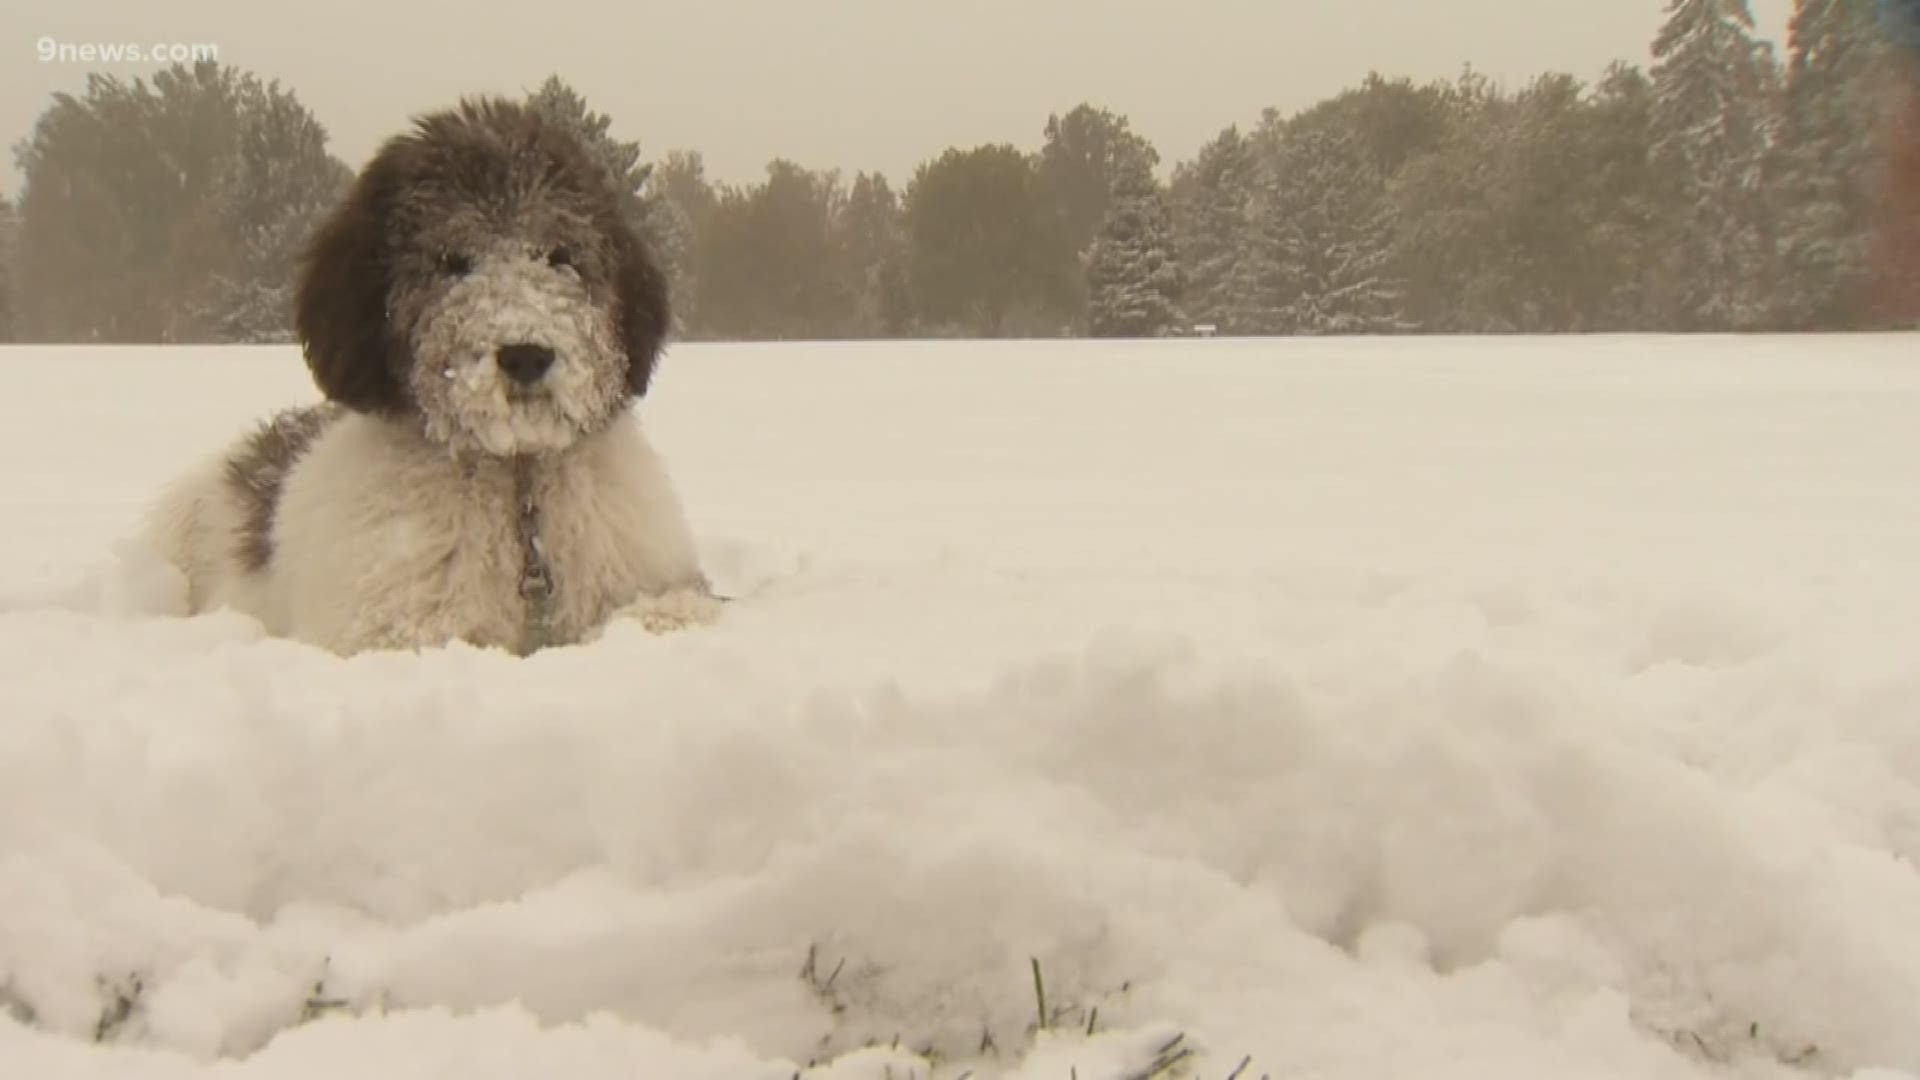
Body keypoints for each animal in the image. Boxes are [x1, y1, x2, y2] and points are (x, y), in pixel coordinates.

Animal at [144, 98, 721, 657]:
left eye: (561, 255)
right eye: (453, 260)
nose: (527, 355)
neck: (517, 489)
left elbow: (670, 612)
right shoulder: (393, 626)